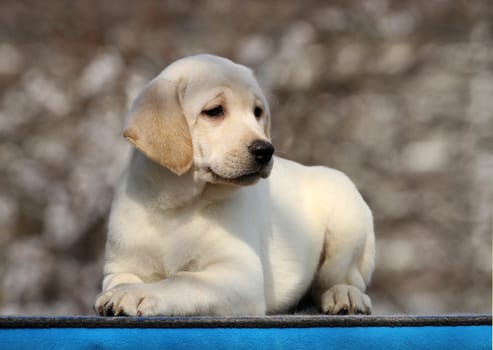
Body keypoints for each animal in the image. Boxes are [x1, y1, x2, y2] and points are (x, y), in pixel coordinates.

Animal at [94, 54, 374, 318]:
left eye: (257, 112)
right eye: (215, 111)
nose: (265, 150)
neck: (177, 204)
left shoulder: (241, 274)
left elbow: (183, 279)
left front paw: (138, 294)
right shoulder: (121, 267)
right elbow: (122, 281)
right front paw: (123, 291)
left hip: (347, 219)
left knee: (342, 279)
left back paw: (345, 295)